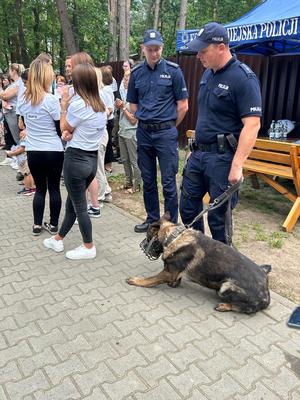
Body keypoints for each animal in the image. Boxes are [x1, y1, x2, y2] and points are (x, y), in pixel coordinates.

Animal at [125, 214, 270, 314]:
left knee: (246, 308)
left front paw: (137, 281)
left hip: (225, 287)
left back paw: (225, 306)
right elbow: (177, 277)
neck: (174, 237)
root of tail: (266, 294)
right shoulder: (173, 272)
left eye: (148, 237)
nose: (143, 245)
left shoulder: (168, 273)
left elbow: (151, 279)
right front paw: (175, 283)